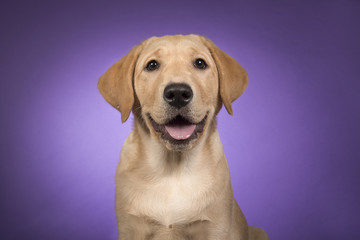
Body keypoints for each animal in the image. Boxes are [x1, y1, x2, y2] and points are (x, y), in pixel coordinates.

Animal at [97, 34, 268, 240]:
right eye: (152, 65)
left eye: (200, 63)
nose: (178, 93)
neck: (172, 170)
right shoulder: (130, 228)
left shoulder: (215, 227)